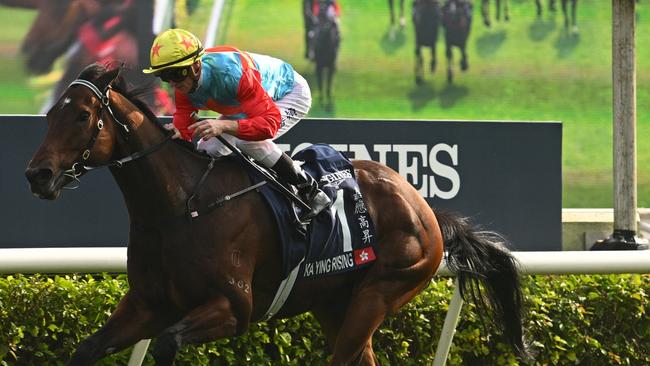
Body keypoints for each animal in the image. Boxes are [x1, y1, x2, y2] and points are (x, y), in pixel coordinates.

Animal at [26, 64, 532, 364]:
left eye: (82, 115)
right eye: (51, 114)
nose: (38, 175)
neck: (181, 207)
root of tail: (424, 206)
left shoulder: (233, 307)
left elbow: (169, 342)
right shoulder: (147, 305)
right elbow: (87, 349)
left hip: (385, 288)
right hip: (336, 302)